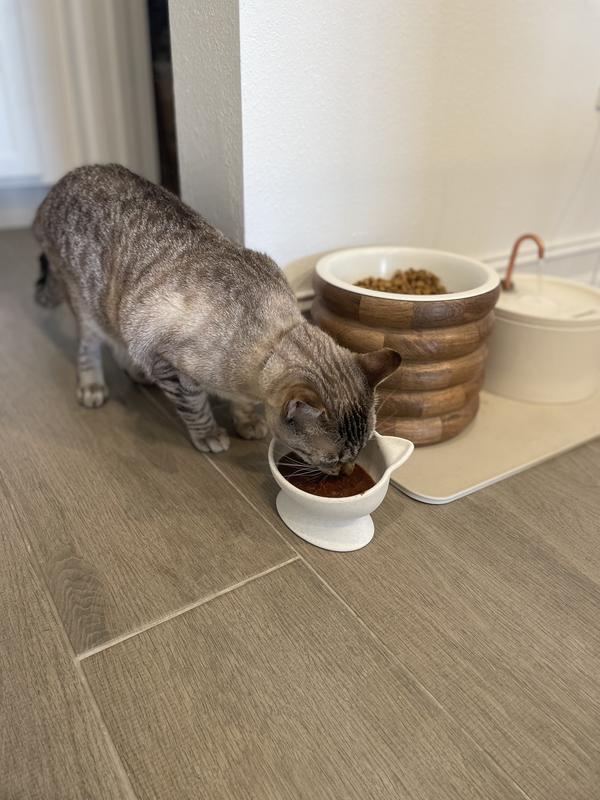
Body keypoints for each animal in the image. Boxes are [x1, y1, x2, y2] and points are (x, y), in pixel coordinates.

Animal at [33, 164, 401, 473]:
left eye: (361, 450)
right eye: (333, 459)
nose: (348, 471)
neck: (269, 338)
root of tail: (66, 179)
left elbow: (241, 403)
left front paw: (247, 422)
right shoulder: (169, 365)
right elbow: (195, 408)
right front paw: (210, 435)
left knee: (118, 345)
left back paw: (137, 373)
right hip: (89, 306)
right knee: (89, 348)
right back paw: (93, 387)